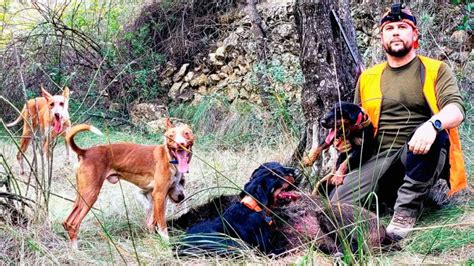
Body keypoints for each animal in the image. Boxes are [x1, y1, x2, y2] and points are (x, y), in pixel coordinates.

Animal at [64, 119, 193, 248]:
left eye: (186, 133)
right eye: (171, 136)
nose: (180, 143)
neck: (168, 157)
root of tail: (85, 152)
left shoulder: (151, 196)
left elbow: (151, 222)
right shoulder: (159, 195)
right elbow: (162, 226)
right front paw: (166, 245)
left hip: (81, 195)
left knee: (67, 222)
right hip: (90, 195)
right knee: (74, 223)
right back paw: (76, 249)